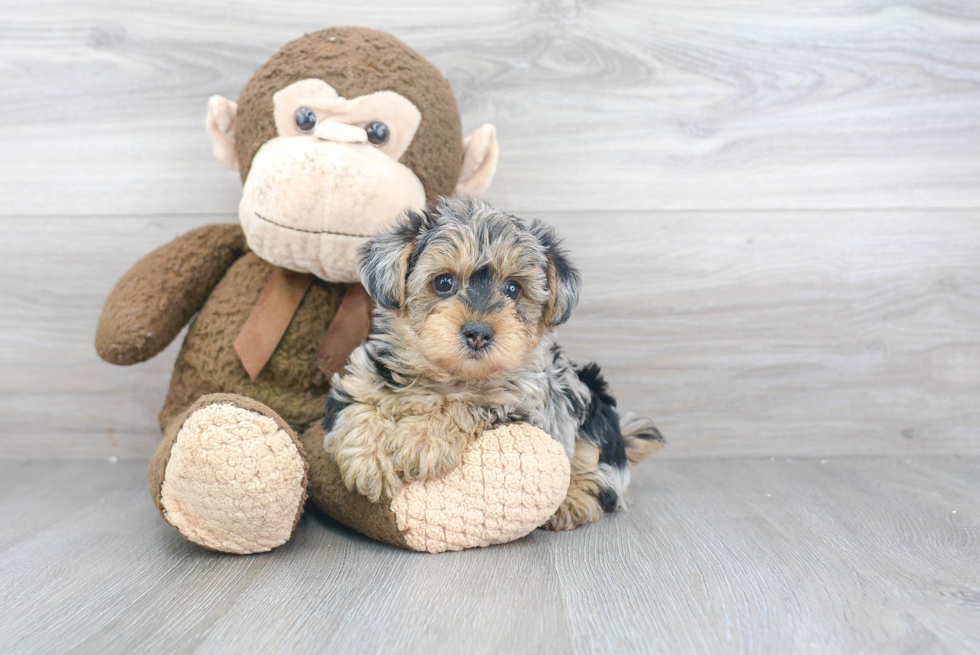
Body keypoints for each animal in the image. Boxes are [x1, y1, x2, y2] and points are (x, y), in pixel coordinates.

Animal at [326, 197, 664, 532]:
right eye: (443, 282)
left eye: (513, 289)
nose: (478, 333)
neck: (451, 375)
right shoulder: (360, 380)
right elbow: (359, 410)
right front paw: (370, 461)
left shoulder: (525, 408)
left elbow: (469, 404)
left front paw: (421, 438)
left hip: (593, 413)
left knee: (603, 477)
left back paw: (574, 500)